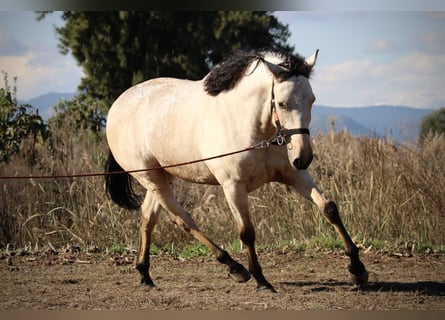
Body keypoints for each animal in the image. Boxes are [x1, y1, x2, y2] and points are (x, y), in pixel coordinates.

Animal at [104, 48, 368, 292]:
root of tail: (117, 106)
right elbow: (247, 232)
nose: (303, 158)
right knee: (183, 219)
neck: (252, 126)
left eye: (312, 99)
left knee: (148, 218)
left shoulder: (294, 175)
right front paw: (262, 281)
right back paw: (235, 268)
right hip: (150, 178)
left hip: (162, 177)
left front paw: (357, 269)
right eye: (282, 103)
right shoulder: (233, 186)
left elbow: (329, 209)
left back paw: (145, 275)